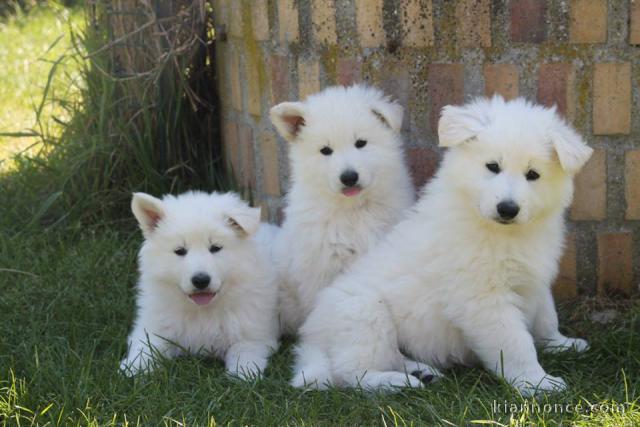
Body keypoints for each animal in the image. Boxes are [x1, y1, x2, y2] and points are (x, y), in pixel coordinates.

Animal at [120, 191, 280, 378]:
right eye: (180, 251)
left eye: (215, 248)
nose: (201, 280)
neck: (202, 311)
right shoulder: (153, 326)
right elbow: (146, 346)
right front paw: (133, 367)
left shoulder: (253, 333)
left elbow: (244, 352)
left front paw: (242, 374)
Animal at [292, 97, 592, 398]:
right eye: (492, 166)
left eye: (533, 174)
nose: (507, 209)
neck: (502, 232)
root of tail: (313, 337)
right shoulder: (484, 299)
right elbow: (515, 343)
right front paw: (537, 383)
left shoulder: (535, 279)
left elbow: (546, 316)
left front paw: (561, 343)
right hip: (363, 313)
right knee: (352, 372)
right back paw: (399, 382)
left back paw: (421, 372)